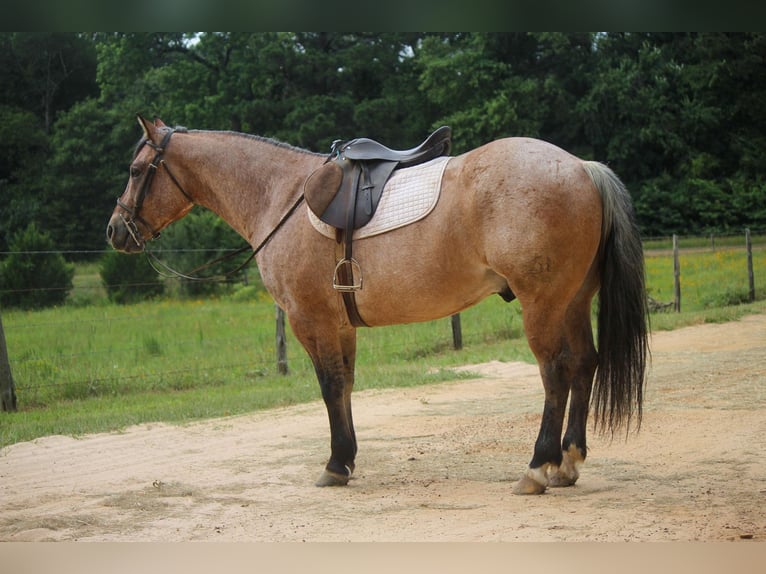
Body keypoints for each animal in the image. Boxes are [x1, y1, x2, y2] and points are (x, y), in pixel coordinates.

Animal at [106, 116, 648, 496]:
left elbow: (328, 388)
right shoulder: (341, 325)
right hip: (572, 301)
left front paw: (333, 465)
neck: (281, 196)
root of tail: (581, 168)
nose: (115, 231)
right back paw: (569, 463)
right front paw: (346, 459)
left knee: (556, 373)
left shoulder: (310, 320)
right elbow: (344, 387)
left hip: (542, 305)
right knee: (584, 365)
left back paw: (537, 468)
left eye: (134, 170)